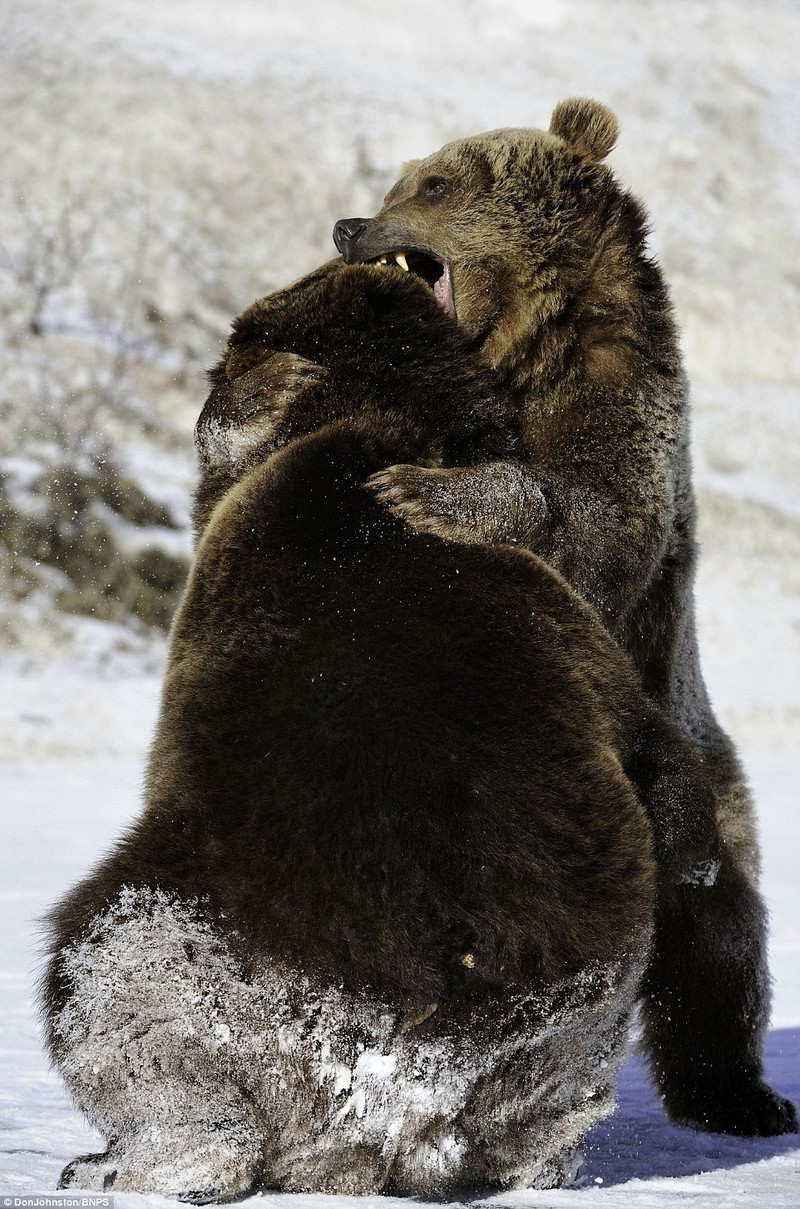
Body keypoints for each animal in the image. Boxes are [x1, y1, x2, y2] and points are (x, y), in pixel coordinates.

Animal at [43, 264, 720, 1199]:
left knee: (121, 987)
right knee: (551, 1103)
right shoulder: (562, 620)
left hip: (187, 950)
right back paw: (541, 1164)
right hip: (561, 1045)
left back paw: (129, 1161)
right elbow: (650, 741)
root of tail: (406, 1091)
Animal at [331, 99, 797, 1136]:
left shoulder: (621, 417)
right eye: (400, 179)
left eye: (433, 184)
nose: (349, 225)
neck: (525, 355)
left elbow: (593, 524)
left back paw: (741, 1095)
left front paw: (428, 493)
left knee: (724, 944)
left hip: (703, 780)